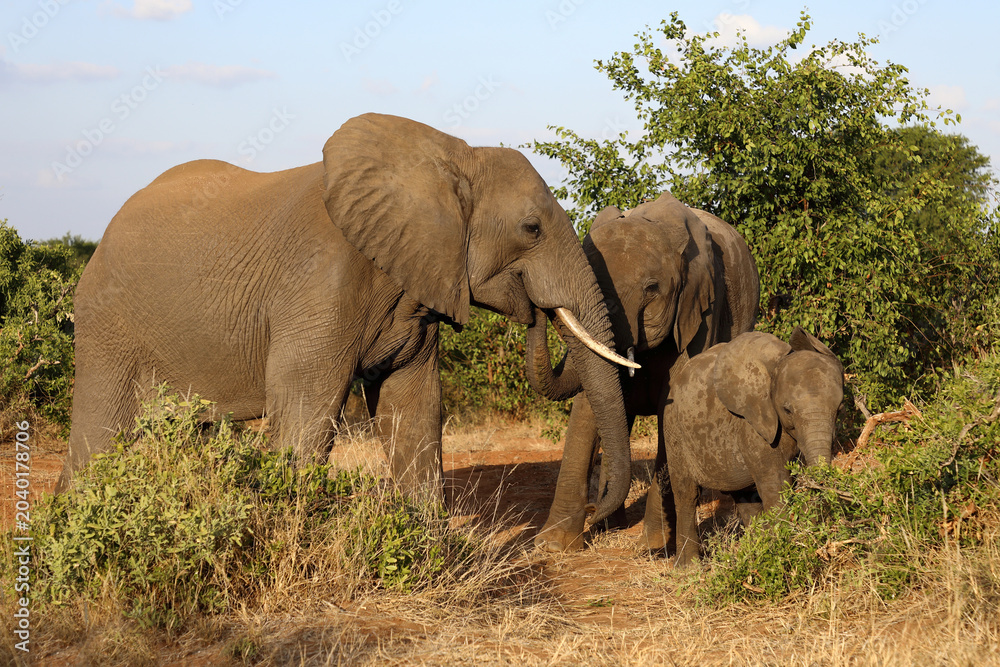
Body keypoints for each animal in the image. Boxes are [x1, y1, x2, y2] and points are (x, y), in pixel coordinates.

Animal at [59, 112, 639, 523]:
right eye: (531, 228)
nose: (596, 510)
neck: (449, 157)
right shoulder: (319, 285)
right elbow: (305, 415)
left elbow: (413, 408)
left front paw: (430, 551)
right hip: (109, 328)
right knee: (99, 438)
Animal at [526, 191, 760, 551]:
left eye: (651, 289)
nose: (539, 308)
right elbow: (586, 407)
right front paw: (552, 545)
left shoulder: (701, 312)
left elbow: (672, 408)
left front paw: (653, 546)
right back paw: (609, 526)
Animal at [649, 327, 845, 567]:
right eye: (787, 410)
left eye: (840, 408)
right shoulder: (753, 425)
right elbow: (775, 485)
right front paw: (787, 553)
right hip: (673, 428)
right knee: (687, 494)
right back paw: (688, 568)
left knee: (745, 497)